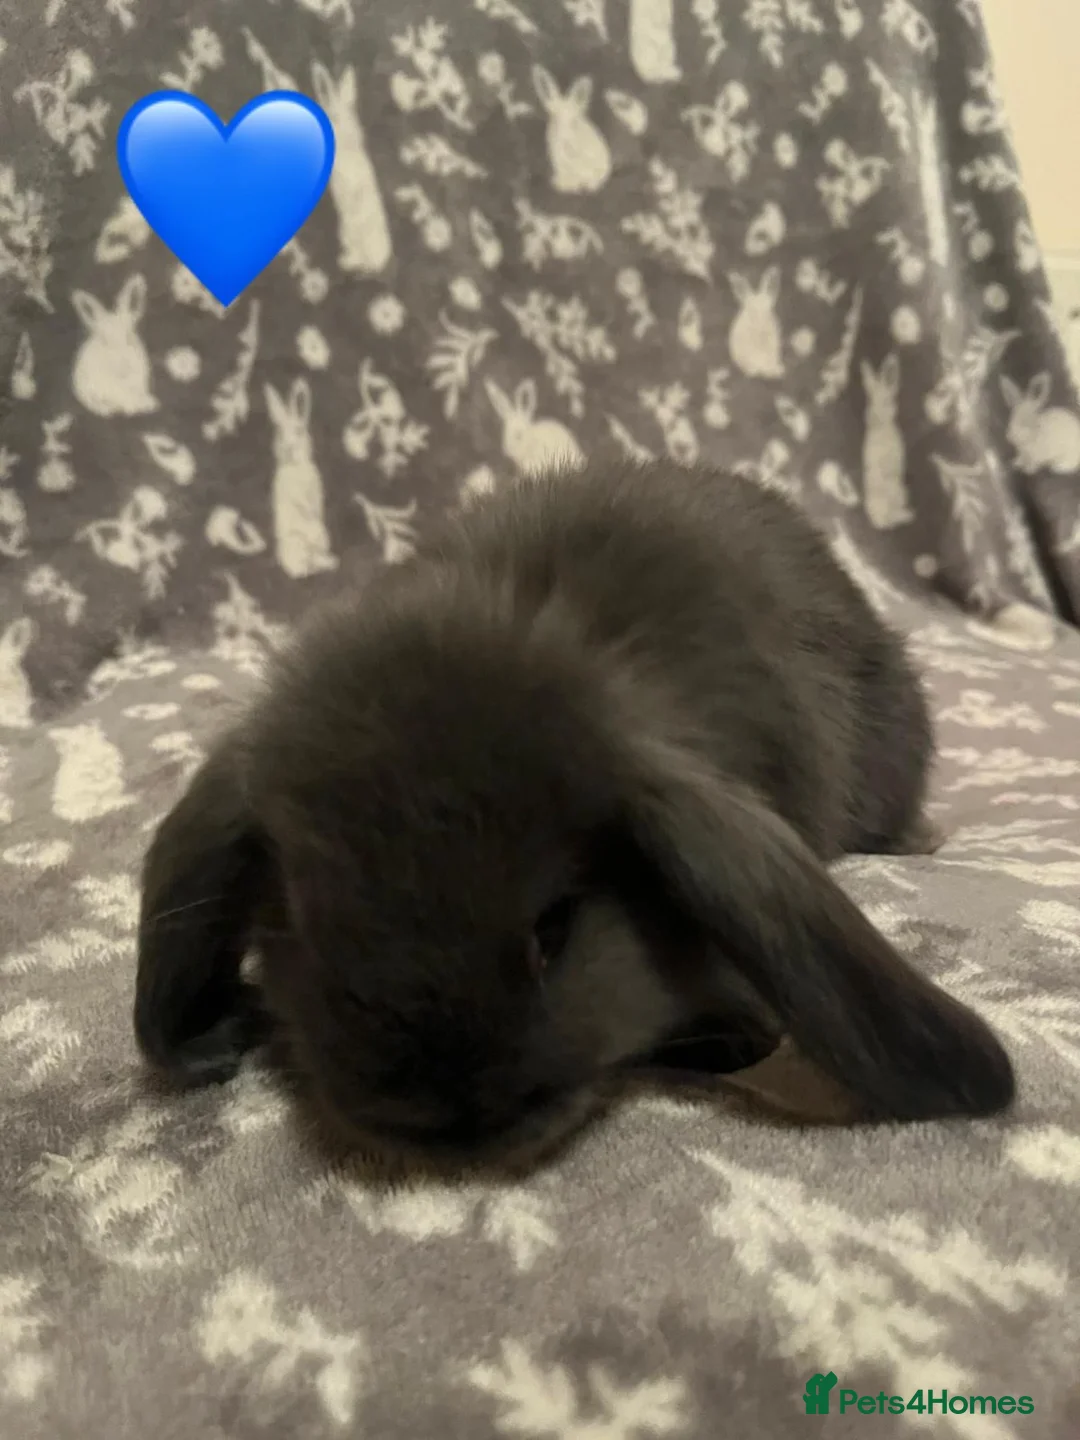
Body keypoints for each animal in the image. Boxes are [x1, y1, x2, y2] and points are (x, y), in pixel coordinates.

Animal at [71, 273, 158, 417]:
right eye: (104, 341)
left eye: (129, 336)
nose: (123, 366)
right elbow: (125, 400)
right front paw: (139, 407)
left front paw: (150, 403)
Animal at [265, 378, 339, 580]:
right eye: (279, 433)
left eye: (299, 431)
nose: (289, 448)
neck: (295, 466)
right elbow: (299, 504)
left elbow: (314, 506)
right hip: (298, 544)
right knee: (304, 565)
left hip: (322, 538)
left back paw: (329, 562)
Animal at [861, 354, 913, 529]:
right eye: (870, 401)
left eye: (887, 401)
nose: (871, 418)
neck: (883, 426)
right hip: (899, 493)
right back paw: (910, 515)